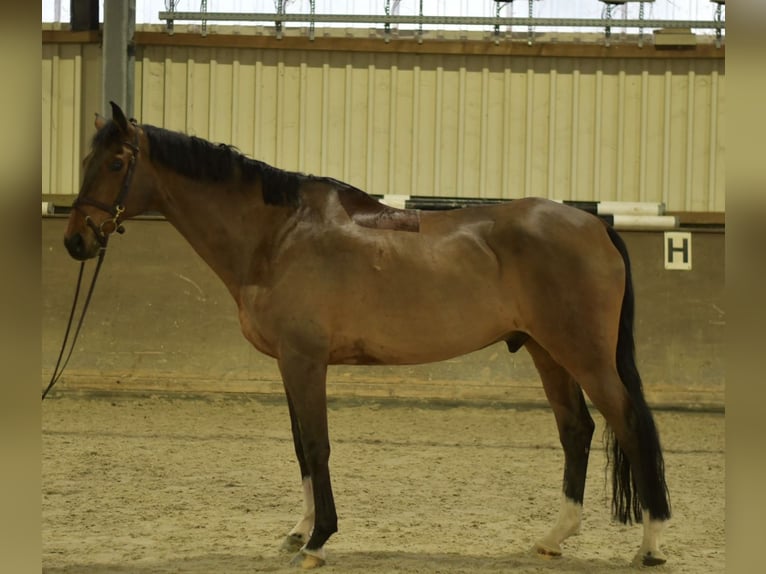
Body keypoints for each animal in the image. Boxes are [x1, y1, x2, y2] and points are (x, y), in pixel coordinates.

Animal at [62, 102, 671, 569]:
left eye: (116, 162)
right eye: (86, 160)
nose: (75, 240)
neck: (277, 236)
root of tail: (596, 226)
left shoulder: (306, 360)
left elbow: (316, 444)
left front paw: (317, 541)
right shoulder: (289, 363)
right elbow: (300, 447)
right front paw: (299, 531)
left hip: (584, 355)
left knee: (630, 424)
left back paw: (650, 546)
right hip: (548, 351)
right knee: (576, 430)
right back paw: (553, 538)